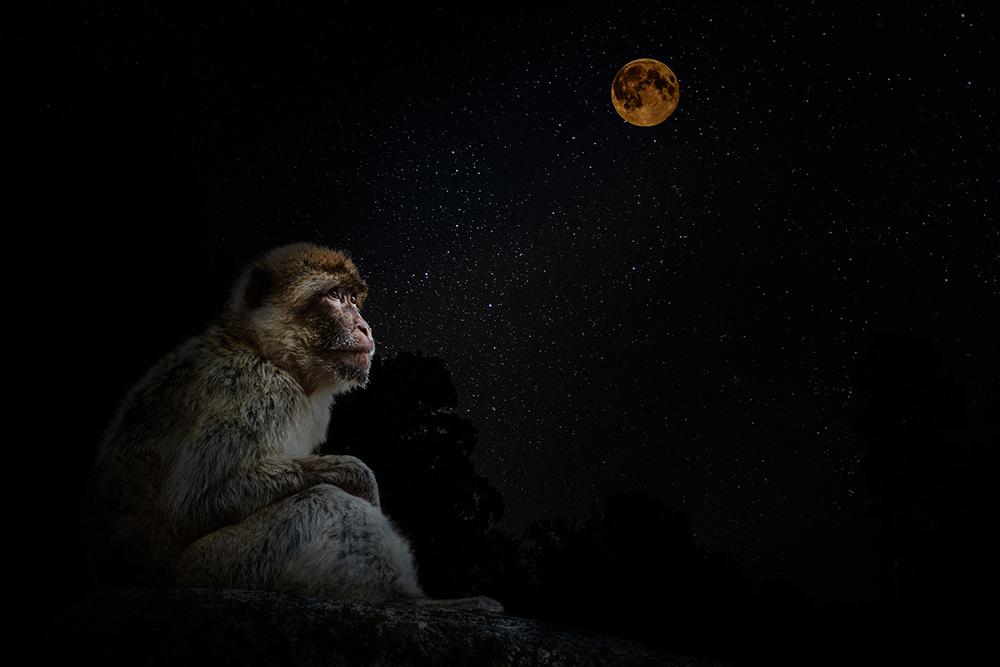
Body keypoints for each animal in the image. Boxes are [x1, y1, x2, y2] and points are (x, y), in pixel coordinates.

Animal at [82, 243, 501, 612]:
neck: (263, 350)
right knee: (322, 502)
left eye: (353, 298)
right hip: (214, 568)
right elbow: (198, 501)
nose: (364, 327)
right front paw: (358, 476)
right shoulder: (254, 388)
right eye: (333, 296)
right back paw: (405, 600)